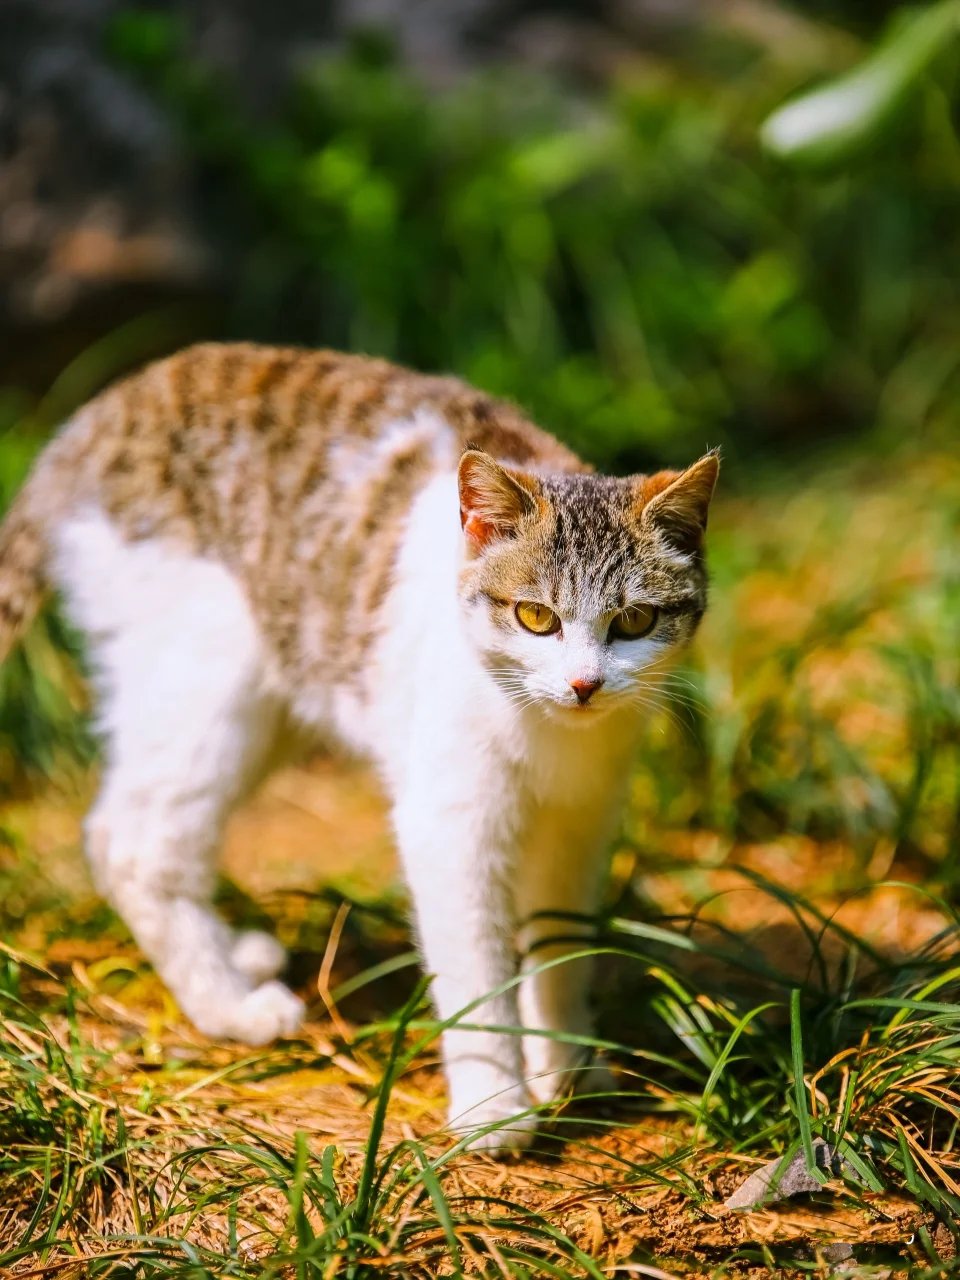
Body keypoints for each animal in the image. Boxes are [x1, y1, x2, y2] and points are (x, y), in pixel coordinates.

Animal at [0, 345, 721, 1157]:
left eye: (633, 622)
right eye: (536, 617)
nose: (584, 683)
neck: (550, 736)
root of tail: (110, 406)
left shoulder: (581, 820)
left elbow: (562, 951)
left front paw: (568, 1067)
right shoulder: (448, 822)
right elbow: (474, 967)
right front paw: (495, 1104)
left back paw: (233, 959)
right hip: (212, 678)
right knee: (132, 840)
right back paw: (230, 1006)